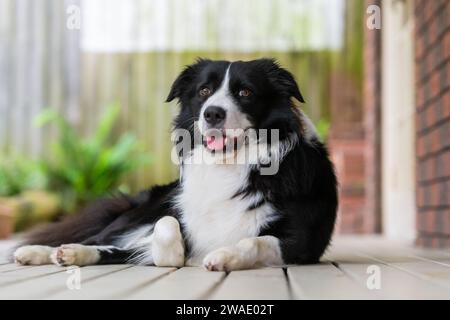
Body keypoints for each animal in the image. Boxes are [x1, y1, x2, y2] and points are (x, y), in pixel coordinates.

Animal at [13, 58, 338, 272]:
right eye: (204, 91)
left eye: (245, 92)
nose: (213, 113)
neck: (230, 165)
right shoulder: (172, 214)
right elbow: (168, 226)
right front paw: (172, 254)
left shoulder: (301, 244)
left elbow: (253, 242)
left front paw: (223, 256)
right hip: (139, 212)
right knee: (99, 239)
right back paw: (41, 251)